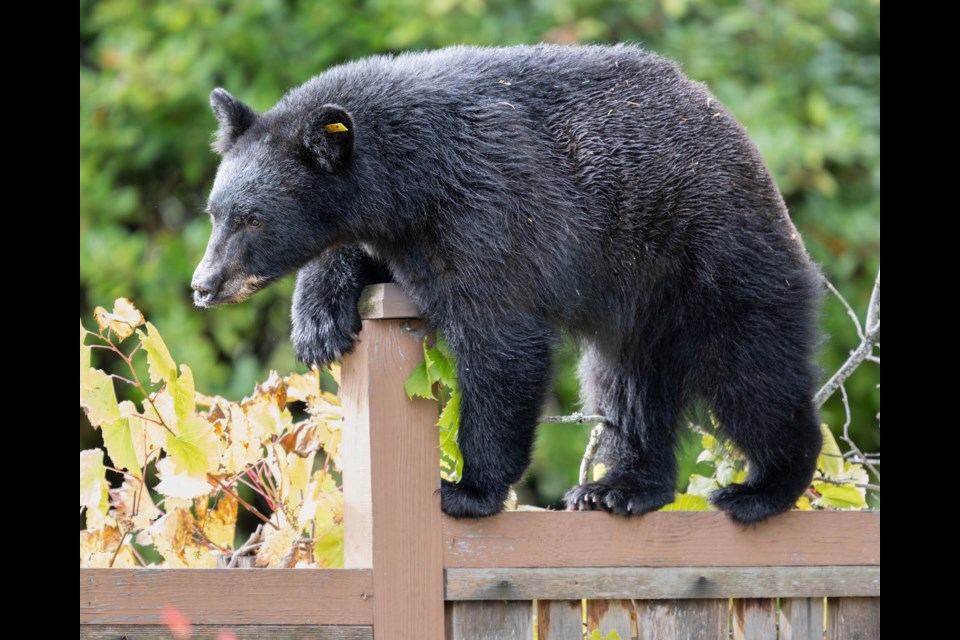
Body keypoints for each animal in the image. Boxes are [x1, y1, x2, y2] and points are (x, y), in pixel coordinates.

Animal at [191, 45, 820, 524]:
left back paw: (763, 489)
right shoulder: (407, 231)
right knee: (625, 387)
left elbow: (500, 340)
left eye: (252, 218)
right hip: (639, 304)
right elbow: (360, 257)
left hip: (710, 257)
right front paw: (320, 322)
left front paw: (469, 489)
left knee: (752, 373)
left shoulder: (489, 210)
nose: (204, 284)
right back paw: (620, 486)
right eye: (215, 212)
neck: (413, 175)